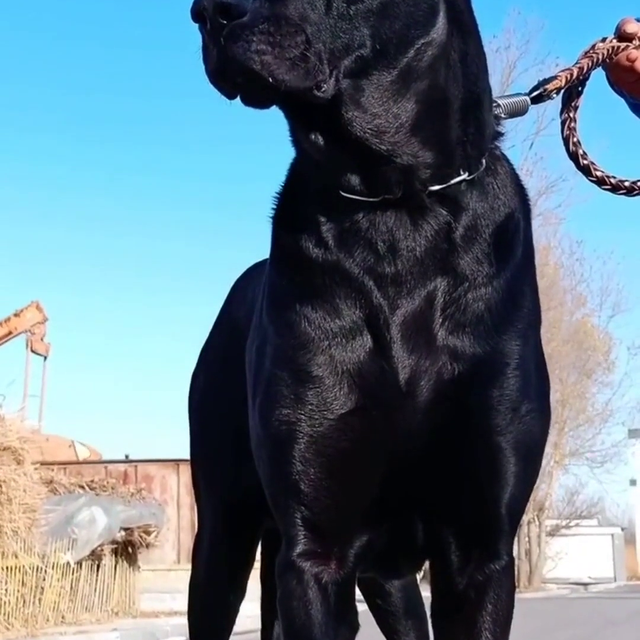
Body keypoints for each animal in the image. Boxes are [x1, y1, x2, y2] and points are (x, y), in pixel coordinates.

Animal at [186, 0, 552, 636]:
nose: (208, 14)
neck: (394, 202)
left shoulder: (480, 547)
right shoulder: (315, 552)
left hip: (390, 578)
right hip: (222, 538)